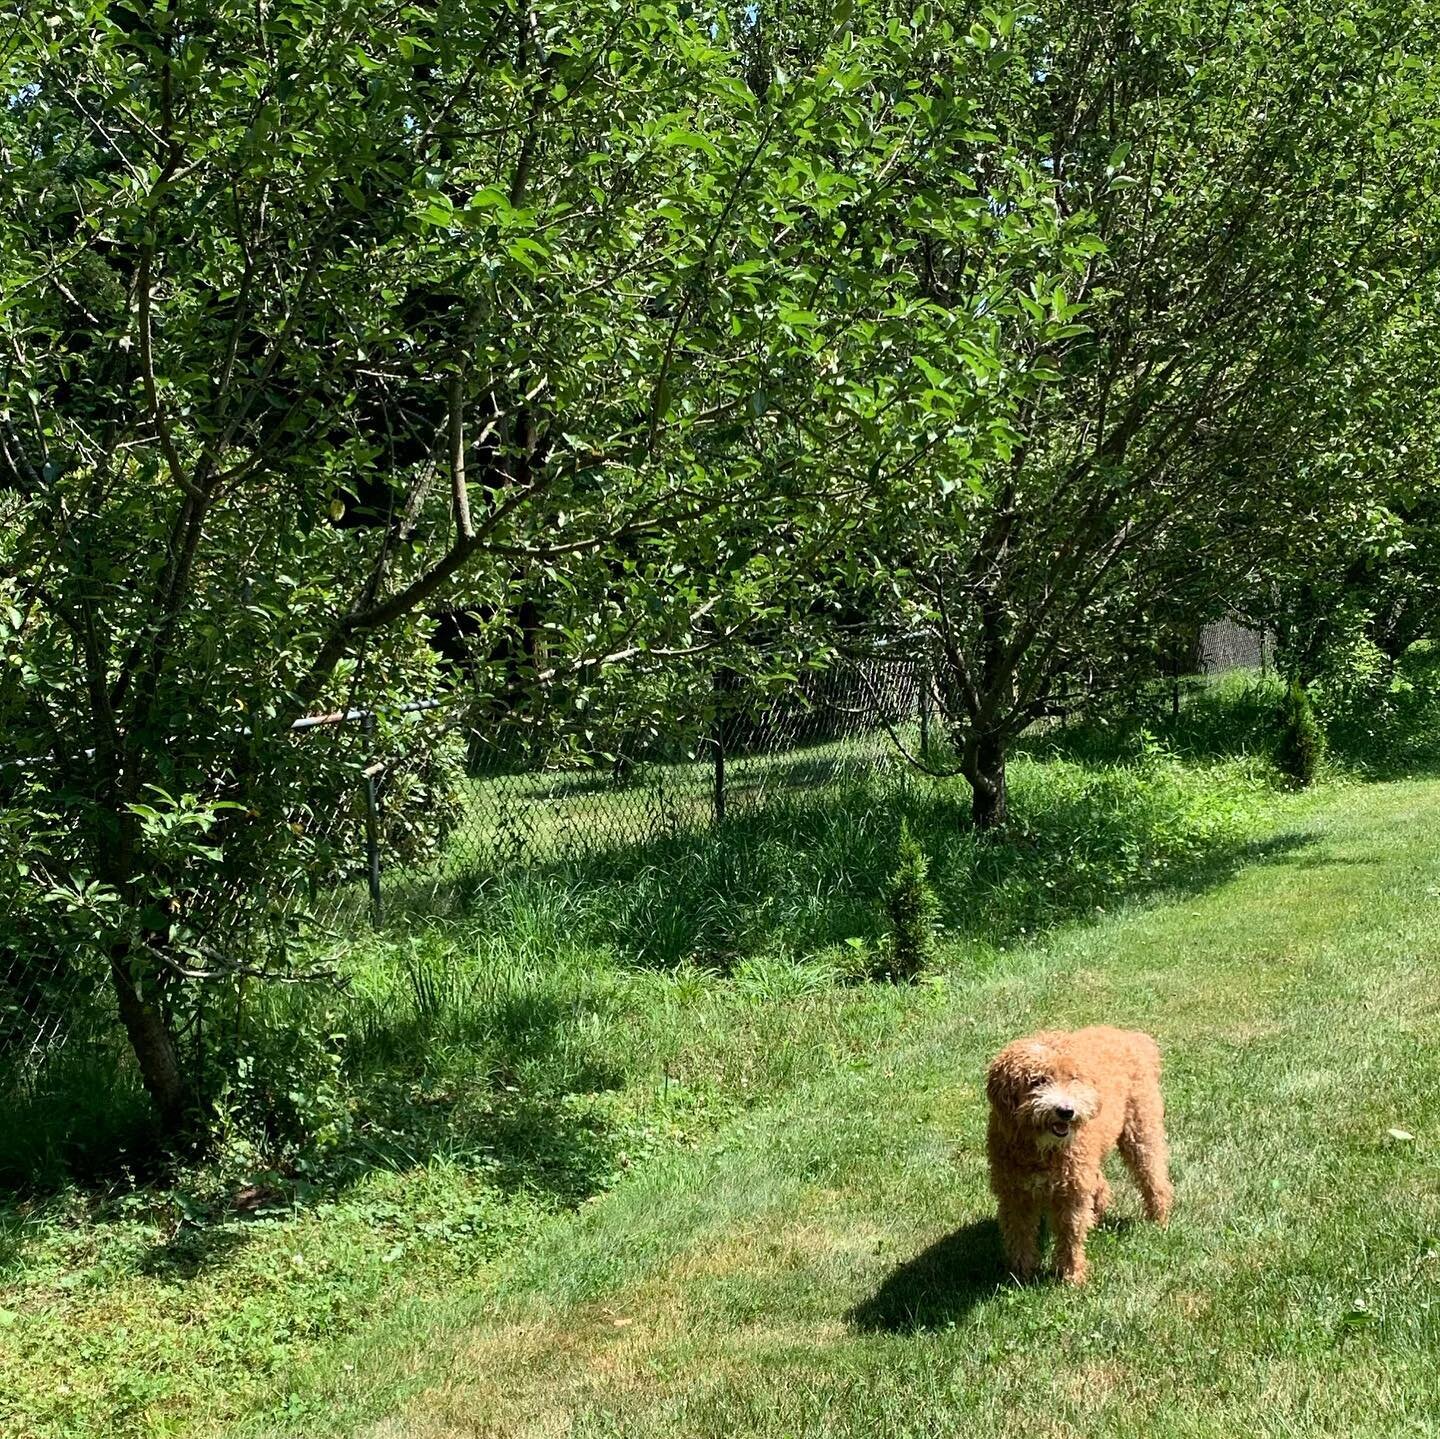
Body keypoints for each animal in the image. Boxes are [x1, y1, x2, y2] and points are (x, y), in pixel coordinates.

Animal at [984, 1031, 1175, 1290]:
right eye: (1037, 1081)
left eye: (1073, 1078)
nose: (1066, 1111)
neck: (1042, 1150)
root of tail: (1134, 1037)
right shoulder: (1015, 1193)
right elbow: (1019, 1234)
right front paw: (1019, 1274)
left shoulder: (1071, 1194)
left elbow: (1070, 1235)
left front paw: (1072, 1276)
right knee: (1101, 1183)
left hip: (1142, 1131)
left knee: (1154, 1177)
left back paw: (1159, 1218)